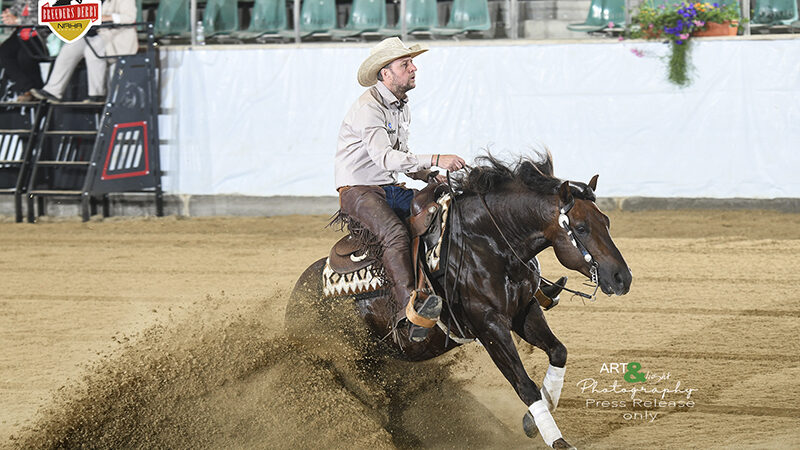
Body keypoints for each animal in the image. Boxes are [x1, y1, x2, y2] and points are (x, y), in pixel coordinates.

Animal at [286, 152, 632, 450]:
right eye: (581, 228)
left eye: (607, 221)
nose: (622, 278)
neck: (488, 242)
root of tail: (296, 298)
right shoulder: (489, 326)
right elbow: (523, 384)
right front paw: (557, 440)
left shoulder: (525, 311)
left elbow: (558, 352)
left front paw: (532, 421)